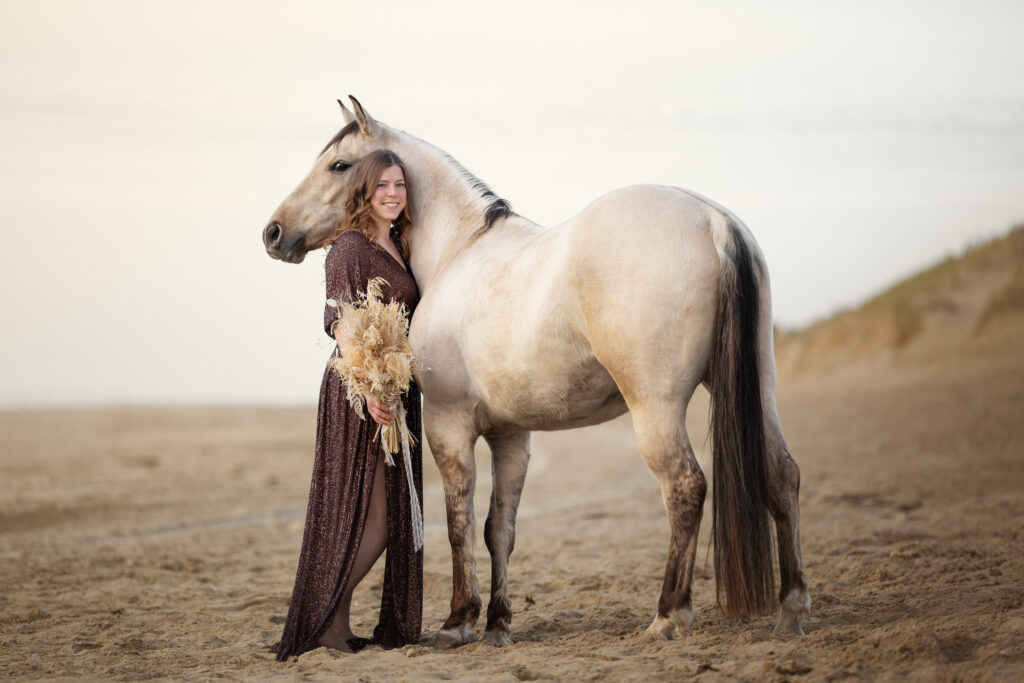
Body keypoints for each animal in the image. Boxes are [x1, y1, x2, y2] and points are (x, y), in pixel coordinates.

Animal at [262, 96, 811, 648]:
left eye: (339, 164)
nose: (273, 232)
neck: (460, 251)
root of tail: (711, 219)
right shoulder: (511, 435)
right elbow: (497, 527)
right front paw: (498, 623)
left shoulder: (448, 426)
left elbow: (458, 520)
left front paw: (459, 620)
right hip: (759, 392)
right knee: (781, 474)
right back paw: (792, 607)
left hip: (656, 407)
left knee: (685, 486)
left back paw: (668, 614)